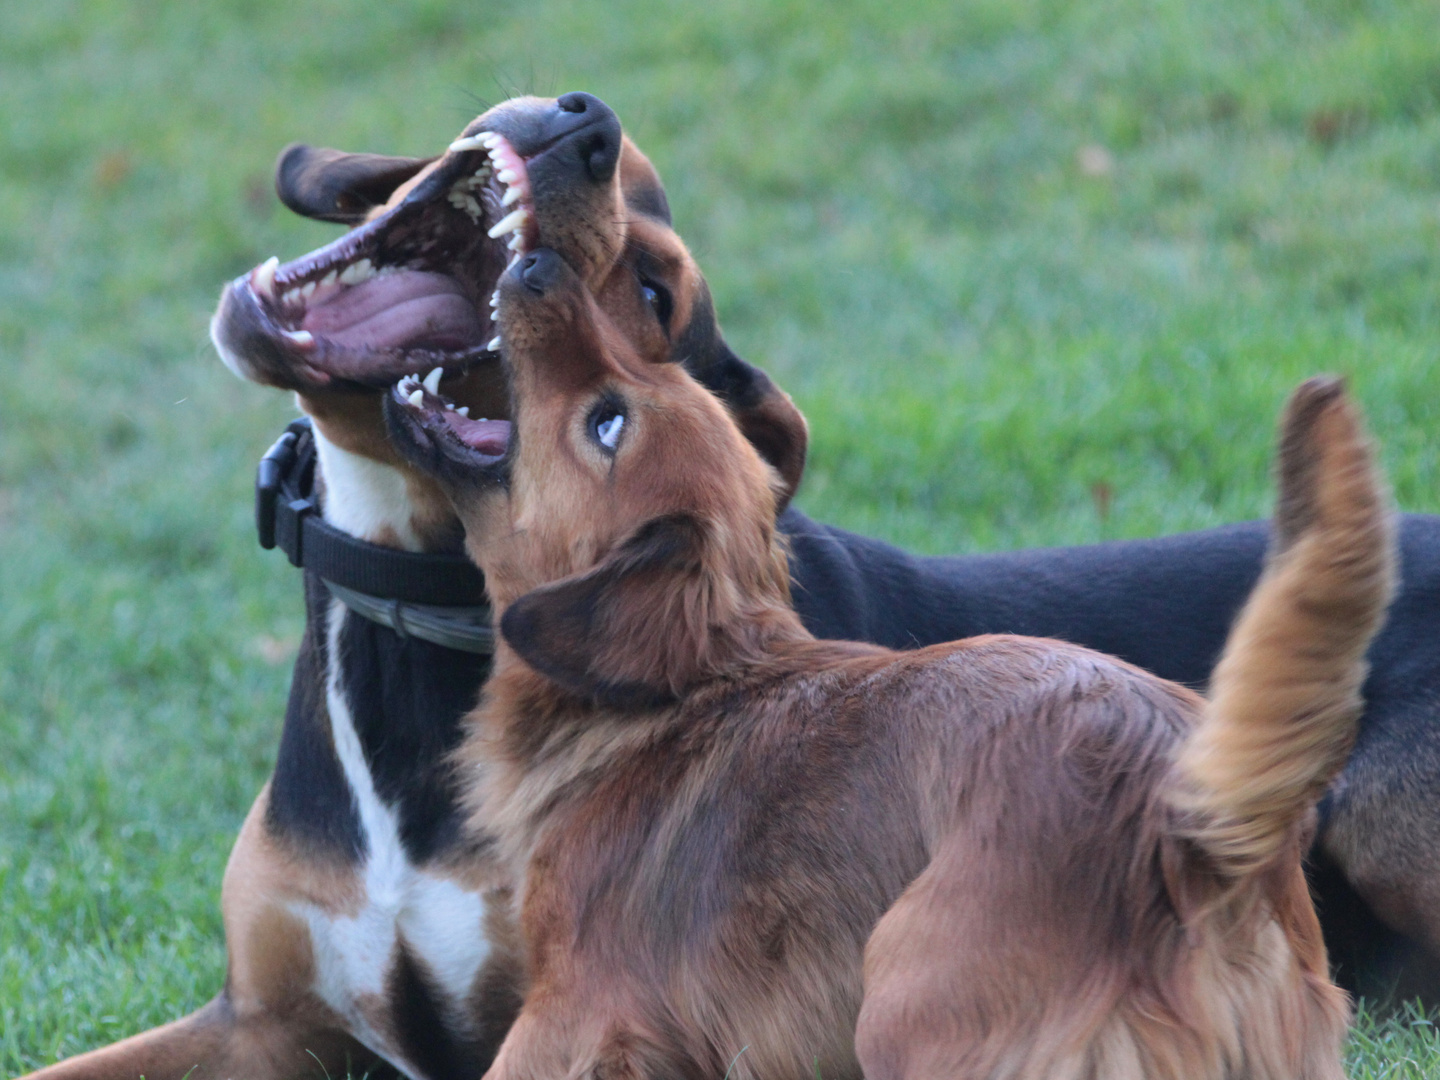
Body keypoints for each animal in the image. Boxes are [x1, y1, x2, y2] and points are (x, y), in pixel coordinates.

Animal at [383, 240, 1393, 1077]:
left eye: (607, 422)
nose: (537, 263)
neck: (680, 687)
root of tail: (1186, 826)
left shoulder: (573, 1014)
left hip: (909, 1004)